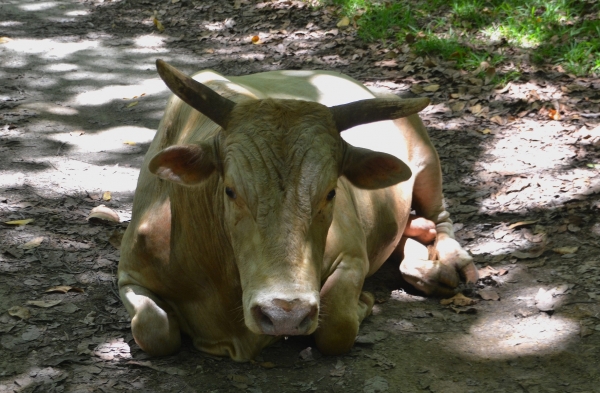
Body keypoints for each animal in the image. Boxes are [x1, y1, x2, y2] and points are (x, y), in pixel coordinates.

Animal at [118, 59, 478, 362]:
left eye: (331, 191)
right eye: (230, 190)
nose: (285, 315)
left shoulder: (352, 255)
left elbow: (336, 326)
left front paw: (363, 304)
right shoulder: (129, 274)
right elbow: (153, 328)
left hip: (427, 159)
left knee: (441, 218)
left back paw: (450, 262)